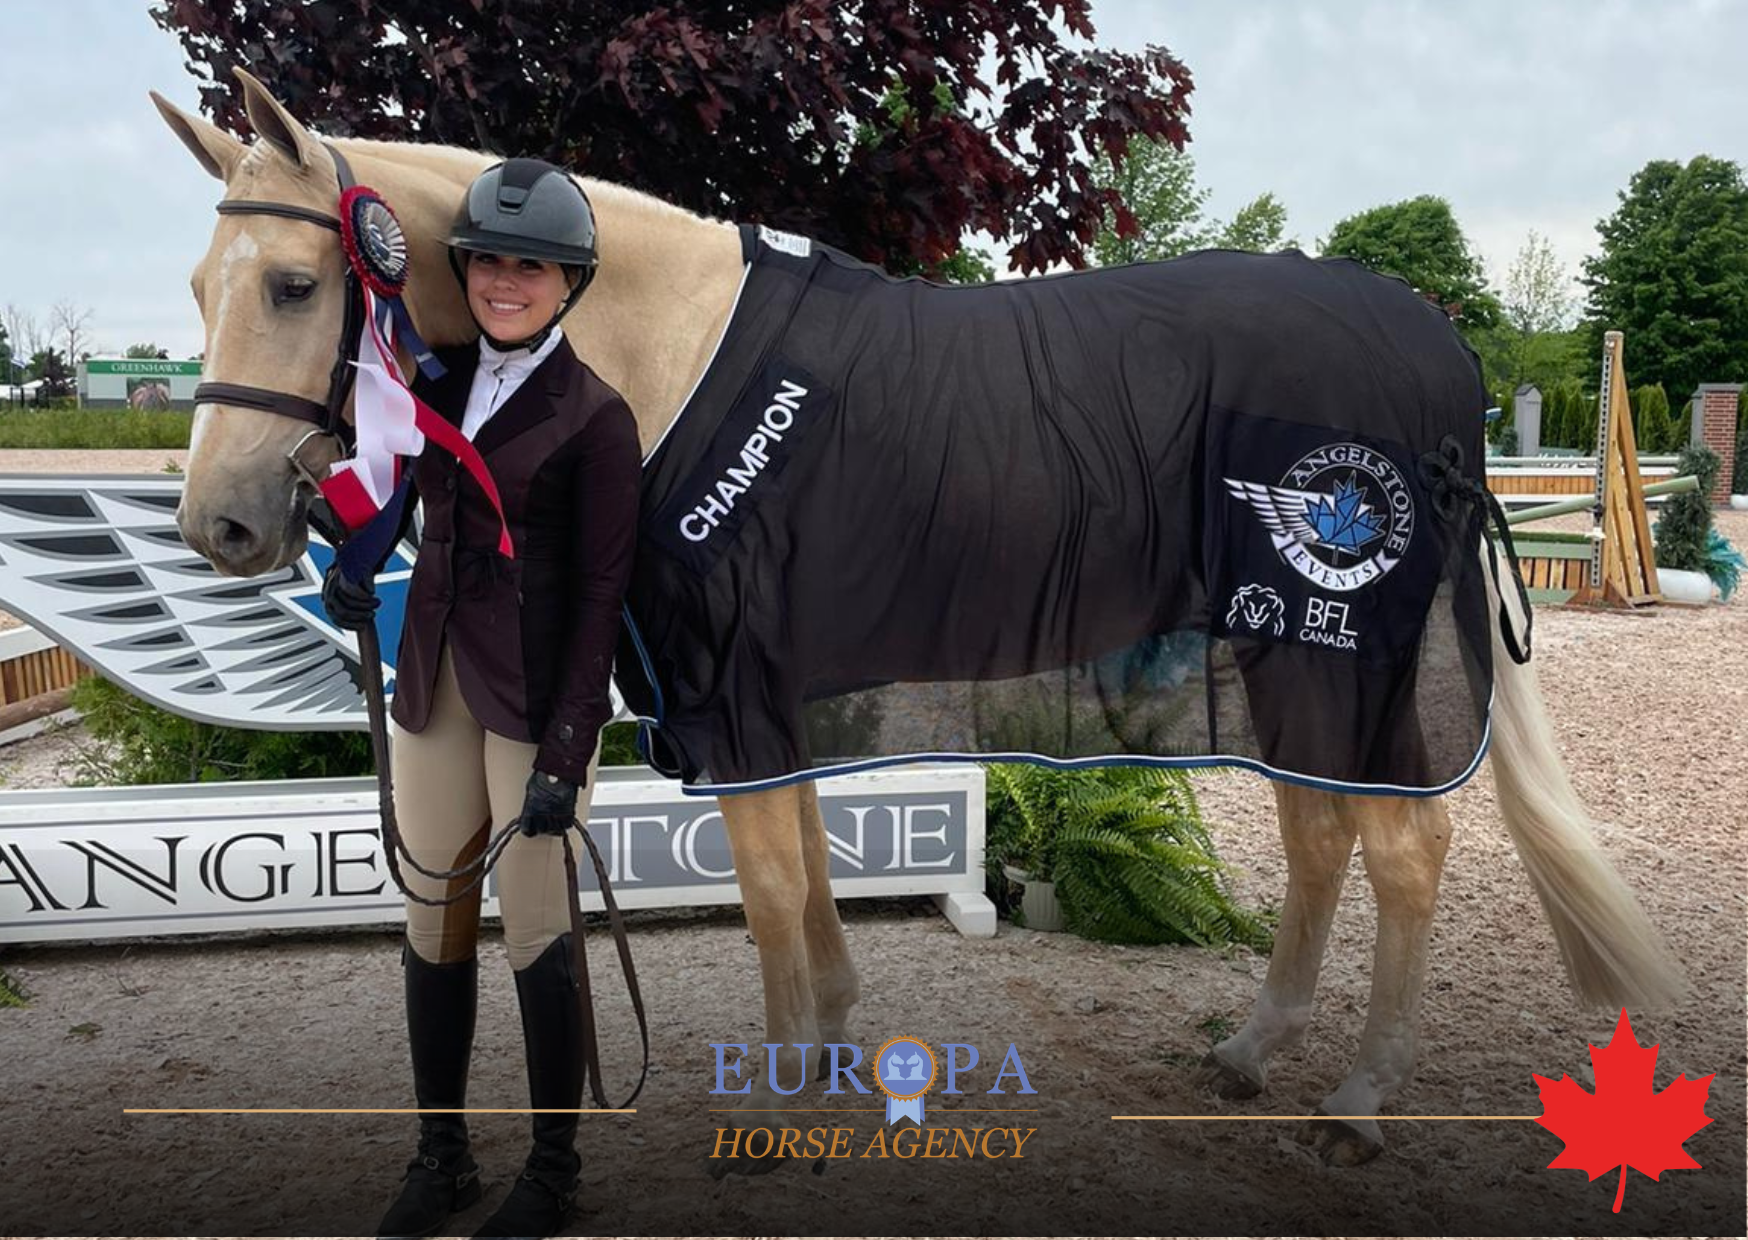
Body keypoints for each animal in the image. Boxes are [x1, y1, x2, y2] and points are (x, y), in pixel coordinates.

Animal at [153, 69, 1684, 1171]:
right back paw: (1252, 1053)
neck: (670, 353)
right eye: (196, 289)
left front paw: (779, 1106)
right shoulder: (759, 692)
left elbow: (772, 886)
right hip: (1272, 650)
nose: (220, 526)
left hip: (1339, 651)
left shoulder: (737, 686)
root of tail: (1435, 349)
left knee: (1404, 849)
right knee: (1320, 840)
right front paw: (830, 1047)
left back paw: (1358, 1098)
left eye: (294, 284)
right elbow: (807, 872)